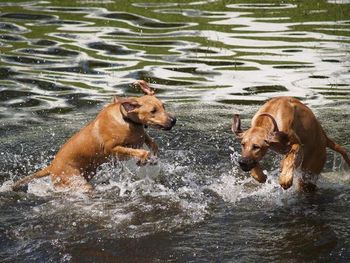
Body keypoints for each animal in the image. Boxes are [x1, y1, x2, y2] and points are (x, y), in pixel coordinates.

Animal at [12, 80, 176, 192]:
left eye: (163, 106)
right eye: (153, 111)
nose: (174, 120)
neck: (126, 119)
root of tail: (51, 167)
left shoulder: (140, 135)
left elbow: (151, 142)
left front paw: (152, 157)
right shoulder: (112, 149)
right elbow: (140, 151)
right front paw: (144, 159)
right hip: (76, 182)